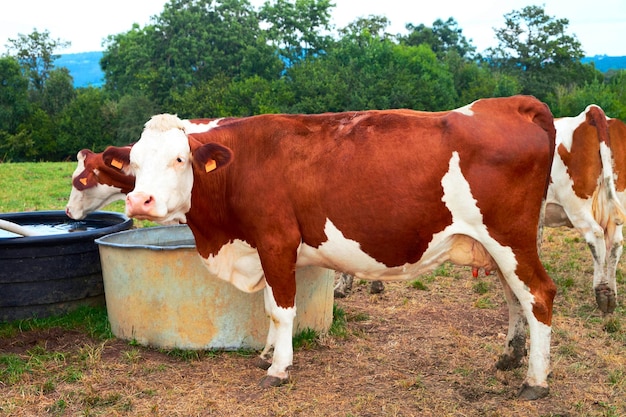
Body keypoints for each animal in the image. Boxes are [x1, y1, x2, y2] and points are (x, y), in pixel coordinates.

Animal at [107, 96, 556, 398]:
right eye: (135, 163)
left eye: (180, 159)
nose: (140, 201)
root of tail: (510, 103)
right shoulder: (264, 249)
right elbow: (269, 306)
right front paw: (268, 352)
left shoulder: (276, 241)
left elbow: (282, 309)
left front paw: (278, 368)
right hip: (499, 246)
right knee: (514, 297)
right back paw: (510, 357)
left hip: (510, 239)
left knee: (538, 295)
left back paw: (535, 380)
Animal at [540, 105, 624, 314]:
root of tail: (590, 113)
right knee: (615, 243)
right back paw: (612, 295)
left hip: (576, 205)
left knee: (596, 237)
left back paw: (602, 294)